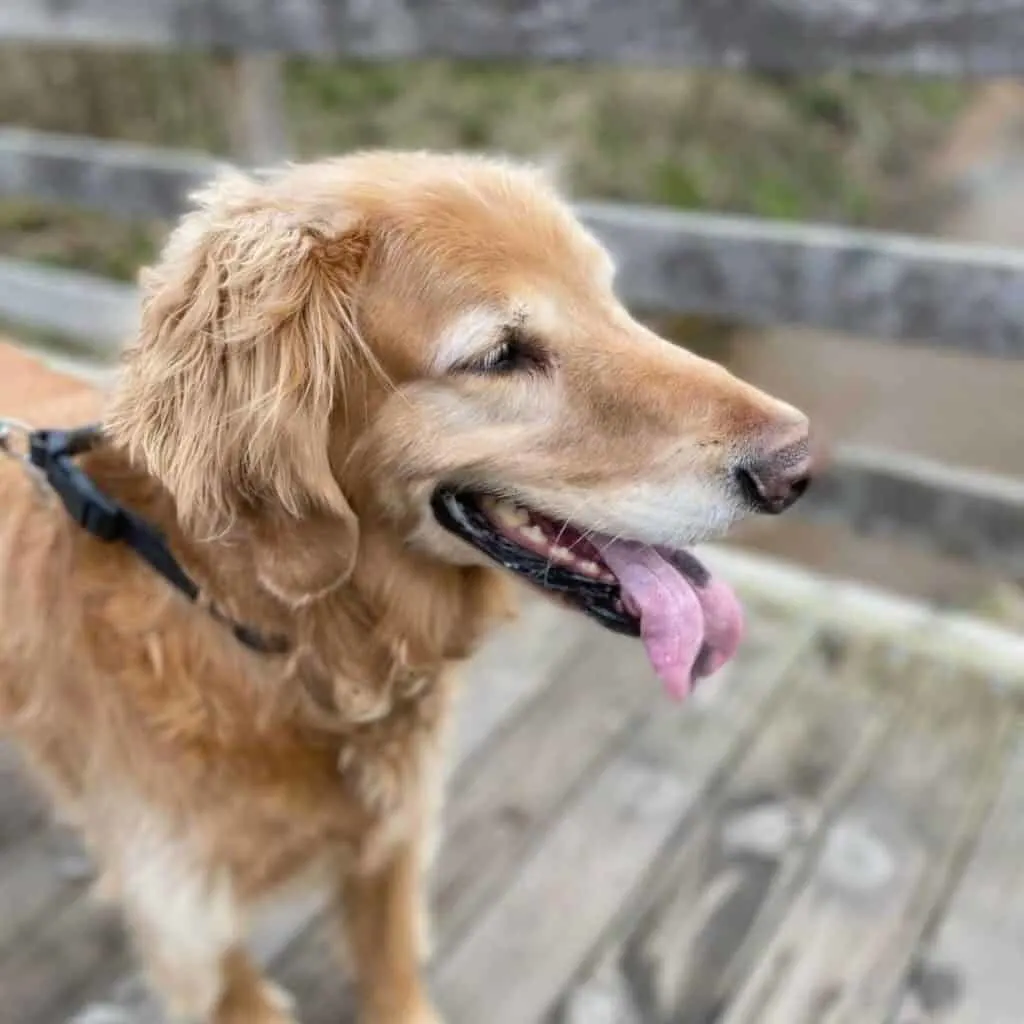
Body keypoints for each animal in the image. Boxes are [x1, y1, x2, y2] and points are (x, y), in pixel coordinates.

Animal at [0, 153, 811, 1024]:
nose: (798, 468)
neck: (288, 644)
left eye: (609, 300)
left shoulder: (390, 848)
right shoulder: (188, 926)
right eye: (500, 355)